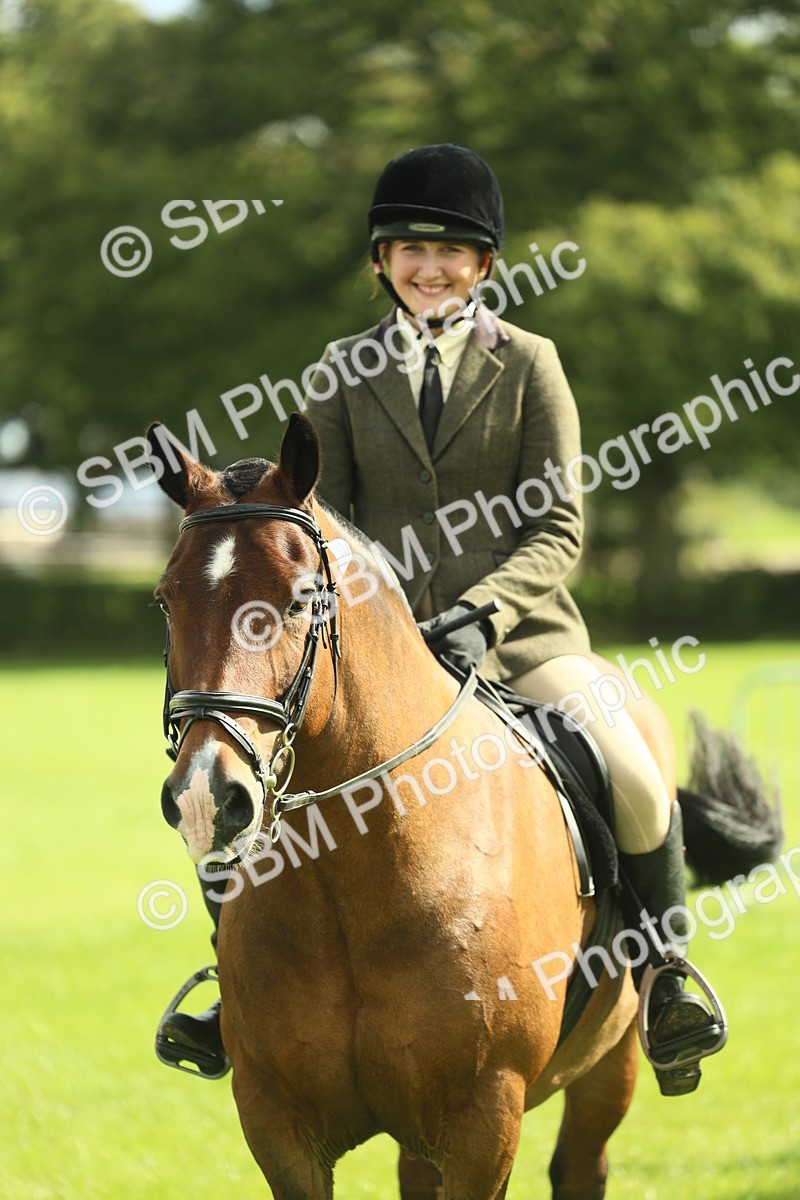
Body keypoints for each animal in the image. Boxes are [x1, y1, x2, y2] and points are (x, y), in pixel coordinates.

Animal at [147, 413, 780, 1200]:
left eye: (299, 600)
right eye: (166, 599)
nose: (207, 795)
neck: (353, 878)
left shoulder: (484, 1116)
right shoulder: (278, 1122)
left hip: (609, 1064)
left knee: (583, 1162)